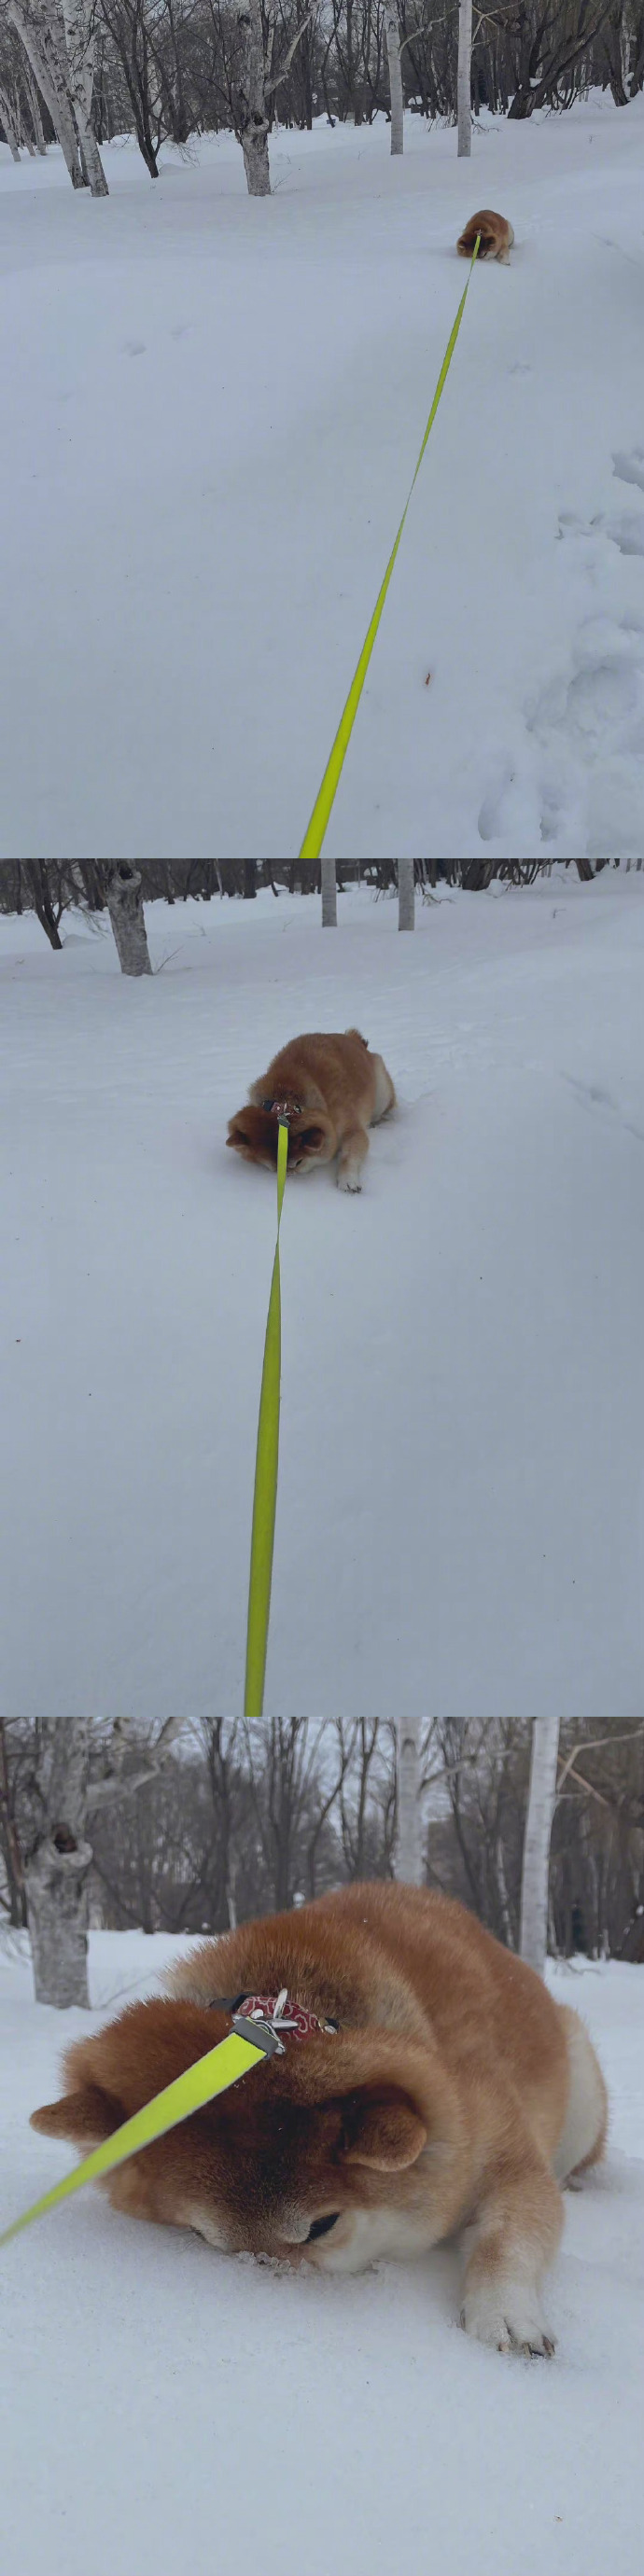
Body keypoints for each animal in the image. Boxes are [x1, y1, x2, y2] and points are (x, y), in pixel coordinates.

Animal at [30, 1875, 605, 2360]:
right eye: (203, 2240)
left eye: (322, 2228)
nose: (276, 2293)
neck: (293, 2011)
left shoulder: (502, 2155)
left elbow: (506, 2237)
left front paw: (505, 2315)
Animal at [226, 1024, 397, 1195]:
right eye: (275, 1169)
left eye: (298, 1163)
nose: (288, 1179)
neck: (285, 1100)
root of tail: (354, 1040)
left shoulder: (351, 1129)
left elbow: (349, 1155)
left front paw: (348, 1180)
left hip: (382, 1093)